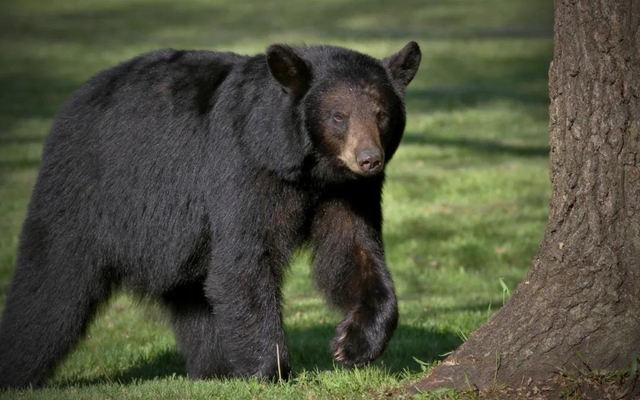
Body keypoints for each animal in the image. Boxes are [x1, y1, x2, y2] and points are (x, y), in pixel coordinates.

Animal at [0, 41, 421, 389]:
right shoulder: (243, 168)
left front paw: (352, 344)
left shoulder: (348, 193)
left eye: (382, 114)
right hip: (85, 193)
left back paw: (215, 369)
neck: (307, 168)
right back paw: (18, 369)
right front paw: (273, 371)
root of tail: (73, 101)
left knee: (194, 299)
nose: (369, 159)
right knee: (52, 283)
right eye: (338, 115)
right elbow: (244, 260)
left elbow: (353, 252)